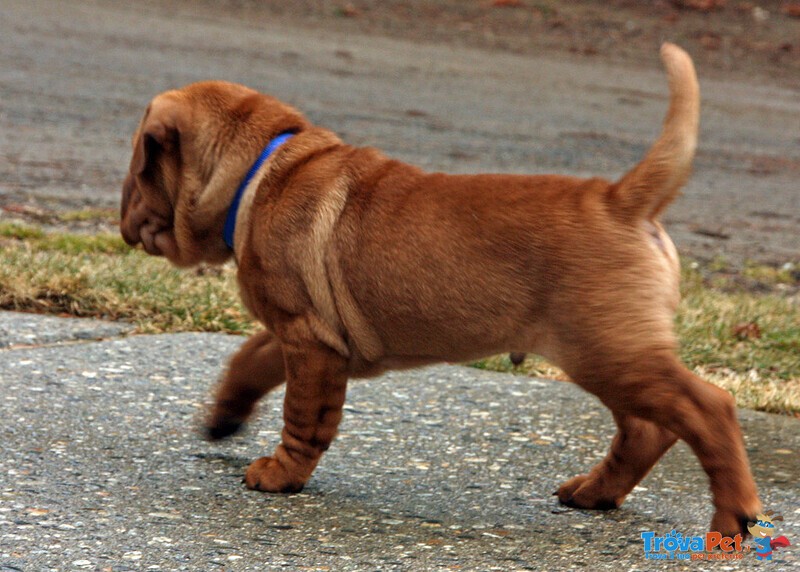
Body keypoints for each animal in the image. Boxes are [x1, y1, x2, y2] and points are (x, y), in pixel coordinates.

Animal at [122, 43, 760, 536]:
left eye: (136, 174)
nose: (122, 221)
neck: (260, 170)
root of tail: (619, 200)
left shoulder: (309, 340)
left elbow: (302, 417)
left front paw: (280, 476)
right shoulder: (306, 332)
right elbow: (249, 359)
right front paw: (224, 416)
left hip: (610, 351)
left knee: (708, 408)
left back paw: (732, 517)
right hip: (610, 353)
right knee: (647, 428)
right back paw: (594, 493)